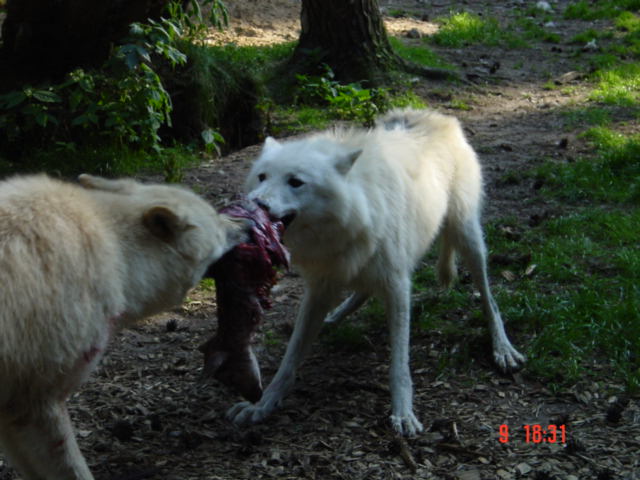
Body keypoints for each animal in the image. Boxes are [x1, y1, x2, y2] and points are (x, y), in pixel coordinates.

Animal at [230, 108, 524, 436]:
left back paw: (503, 348)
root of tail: (434, 116)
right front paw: (262, 405)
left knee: (489, 299)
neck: (354, 211)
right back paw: (334, 317)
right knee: (362, 290)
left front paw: (403, 414)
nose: (255, 204)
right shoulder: (321, 286)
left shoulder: (397, 286)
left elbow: (399, 364)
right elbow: (289, 359)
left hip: (468, 237)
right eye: (262, 176)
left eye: (296, 182)